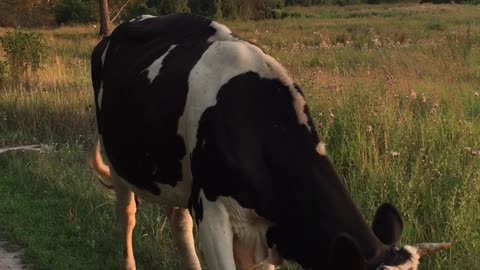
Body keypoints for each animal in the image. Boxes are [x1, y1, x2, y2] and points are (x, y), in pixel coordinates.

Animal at [89, 13, 450, 270]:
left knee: (178, 224)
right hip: (118, 161)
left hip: (175, 173)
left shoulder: (266, 232)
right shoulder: (212, 212)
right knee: (128, 216)